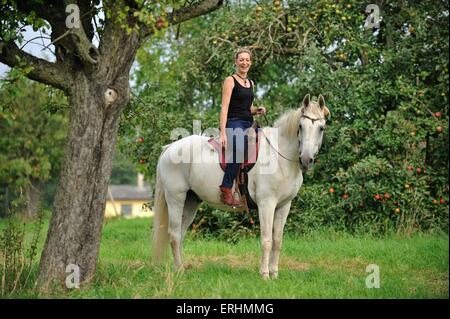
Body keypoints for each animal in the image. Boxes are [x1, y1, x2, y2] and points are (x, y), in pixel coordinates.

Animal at [153, 94, 328, 278]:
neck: (279, 156)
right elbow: (267, 240)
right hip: (176, 198)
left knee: (180, 234)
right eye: (301, 126)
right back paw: (179, 270)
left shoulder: (284, 205)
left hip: (191, 201)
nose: (306, 159)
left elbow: (277, 240)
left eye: (321, 128)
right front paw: (264, 274)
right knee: (173, 234)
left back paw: (181, 268)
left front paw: (274, 274)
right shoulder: (266, 204)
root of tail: (170, 148)